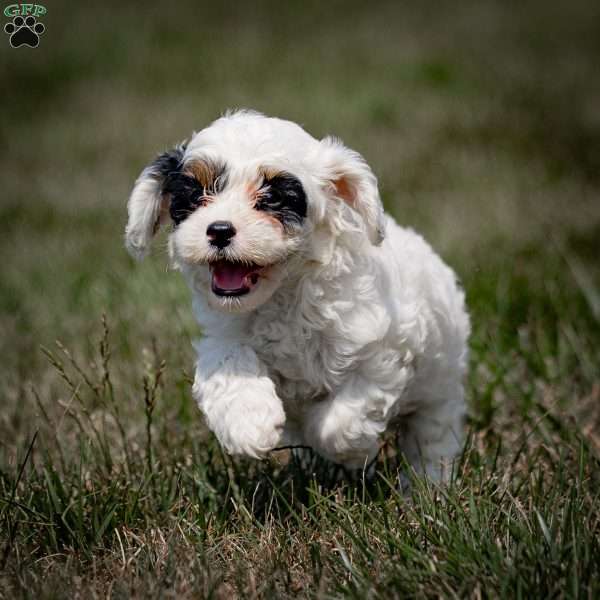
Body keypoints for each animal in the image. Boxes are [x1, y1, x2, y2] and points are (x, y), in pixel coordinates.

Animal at [126, 109, 472, 482]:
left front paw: (352, 452)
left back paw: (428, 486)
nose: (218, 230)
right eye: (194, 195)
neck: (284, 291)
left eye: (273, 198)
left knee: (432, 436)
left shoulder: (384, 349)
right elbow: (229, 364)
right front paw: (250, 426)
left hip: (440, 386)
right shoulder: (225, 334)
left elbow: (346, 415)